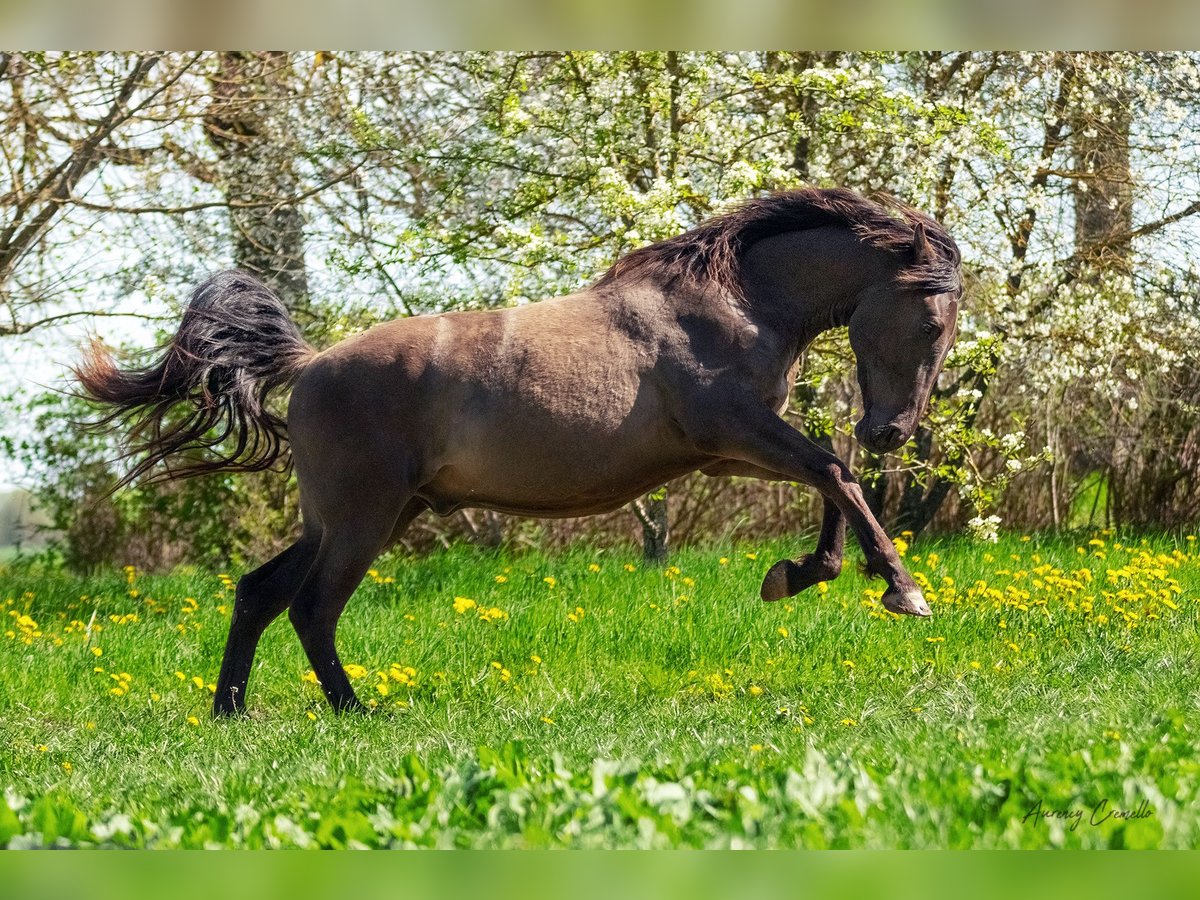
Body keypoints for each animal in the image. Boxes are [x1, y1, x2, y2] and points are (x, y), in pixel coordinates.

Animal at [77, 187, 964, 715]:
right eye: (932, 323)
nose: (891, 431)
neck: (730, 305)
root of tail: (312, 363)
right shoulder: (733, 432)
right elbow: (834, 469)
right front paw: (902, 592)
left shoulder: (723, 452)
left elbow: (829, 475)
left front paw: (798, 573)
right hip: (362, 520)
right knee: (311, 607)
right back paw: (355, 709)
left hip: (365, 516)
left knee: (260, 592)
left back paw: (232, 710)